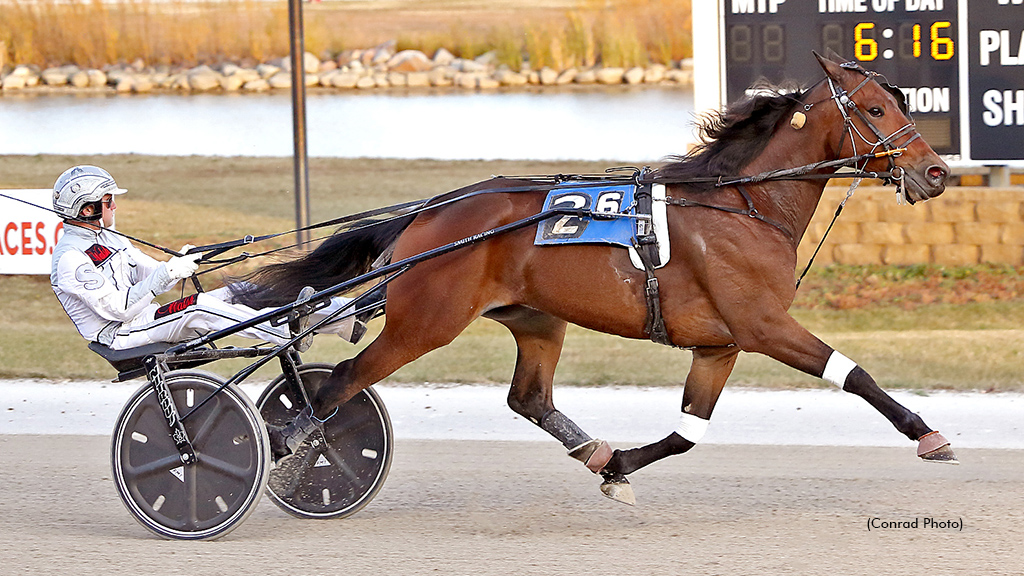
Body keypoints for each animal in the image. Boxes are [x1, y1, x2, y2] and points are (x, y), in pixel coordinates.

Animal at [237, 53, 955, 504]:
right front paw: (929, 434)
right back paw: (291, 449)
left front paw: (618, 467)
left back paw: (592, 451)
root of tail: (433, 212)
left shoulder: (718, 344)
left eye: (897, 103)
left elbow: (687, 433)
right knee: (341, 382)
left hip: (536, 319)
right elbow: (855, 374)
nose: (936, 171)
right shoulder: (762, 324)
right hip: (426, 321)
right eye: (874, 109)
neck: (744, 204)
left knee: (528, 398)